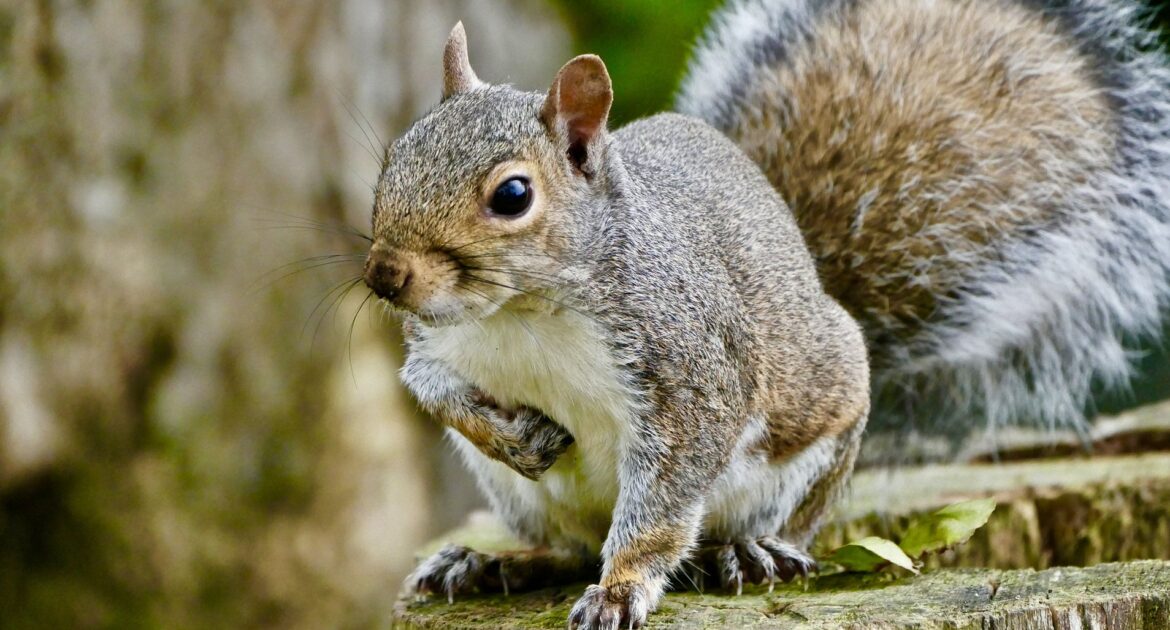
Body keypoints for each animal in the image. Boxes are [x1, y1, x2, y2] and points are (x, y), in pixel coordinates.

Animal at [362, 0, 1170, 622]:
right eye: (394, 157)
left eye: (513, 195)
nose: (384, 275)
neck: (519, 312)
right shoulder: (439, 343)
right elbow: (429, 387)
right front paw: (512, 433)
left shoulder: (690, 372)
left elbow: (664, 499)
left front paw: (622, 590)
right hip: (527, 501)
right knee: (565, 549)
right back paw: (489, 562)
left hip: (809, 452)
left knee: (767, 529)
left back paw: (750, 551)